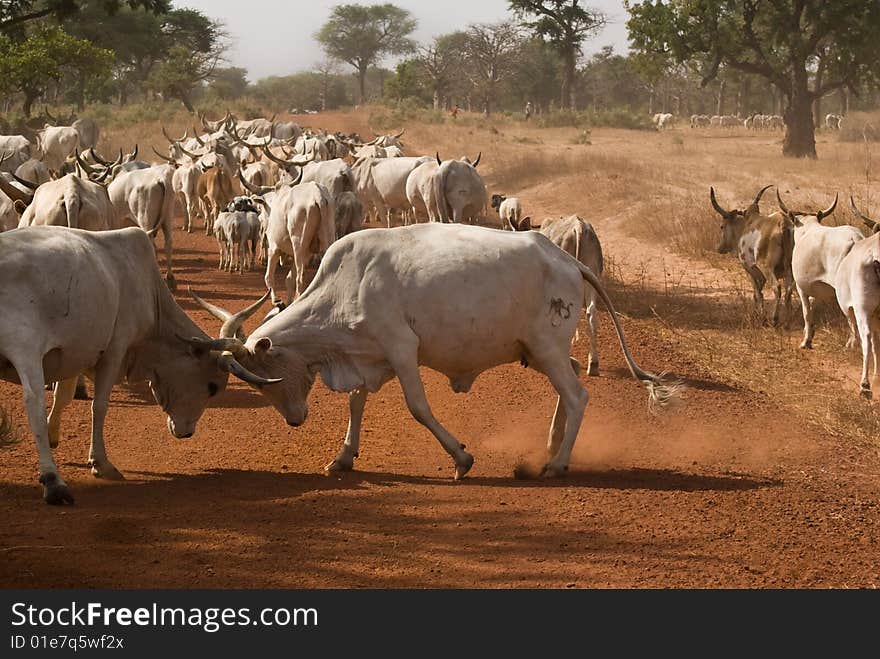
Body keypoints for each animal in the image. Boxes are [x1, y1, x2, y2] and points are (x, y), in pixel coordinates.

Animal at [0, 227, 276, 506]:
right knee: (33, 402)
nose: (186, 433)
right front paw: (101, 464)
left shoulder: (74, 352)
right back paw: (53, 482)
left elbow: (63, 397)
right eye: (212, 387)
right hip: (26, 349)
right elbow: (99, 406)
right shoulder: (114, 349)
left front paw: (53, 435)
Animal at [196, 224, 676, 482]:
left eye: (265, 376)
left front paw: (462, 459)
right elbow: (356, 402)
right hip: (541, 352)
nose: (295, 420)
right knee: (570, 383)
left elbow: (418, 407)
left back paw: (556, 464)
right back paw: (552, 444)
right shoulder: (374, 357)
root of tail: (565, 258)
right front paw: (344, 456)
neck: (345, 283)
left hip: (547, 348)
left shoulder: (402, 350)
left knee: (578, 396)